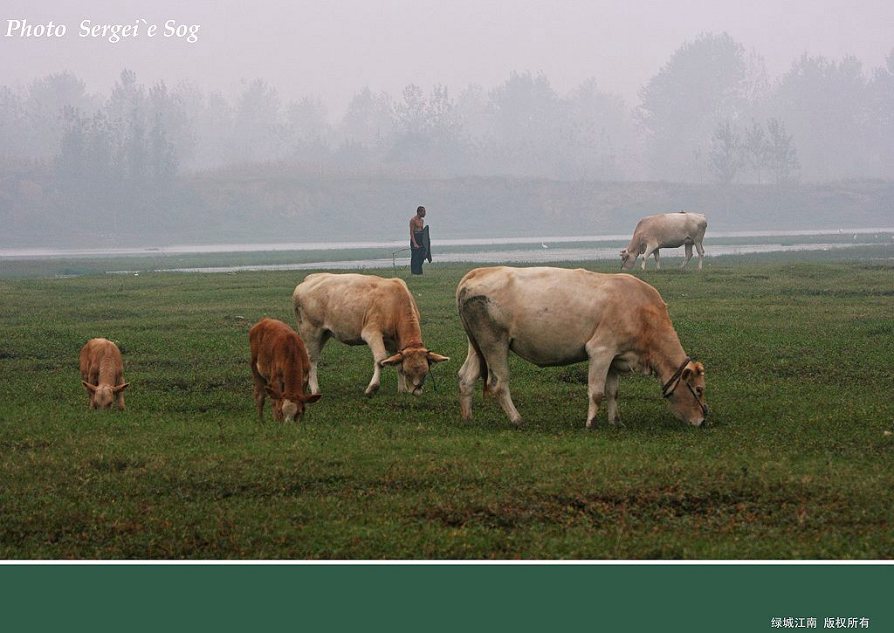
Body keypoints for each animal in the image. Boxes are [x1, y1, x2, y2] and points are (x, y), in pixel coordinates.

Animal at [292, 272, 448, 396]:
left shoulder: (394, 341)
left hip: (324, 333)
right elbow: (381, 359)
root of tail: (308, 280)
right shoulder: (372, 333)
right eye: (407, 372)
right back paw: (315, 390)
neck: (395, 302)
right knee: (312, 360)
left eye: (425, 372)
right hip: (310, 331)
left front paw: (402, 389)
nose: (416, 392)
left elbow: (395, 361)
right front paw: (372, 388)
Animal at [458, 264, 712, 428]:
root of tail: (475, 274)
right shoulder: (601, 351)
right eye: (699, 390)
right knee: (499, 383)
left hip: (477, 345)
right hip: (495, 343)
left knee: (466, 377)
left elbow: (613, 391)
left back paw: (468, 418)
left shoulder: (615, 357)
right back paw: (517, 420)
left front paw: (616, 422)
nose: (702, 420)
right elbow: (597, 392)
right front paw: (591, 423)